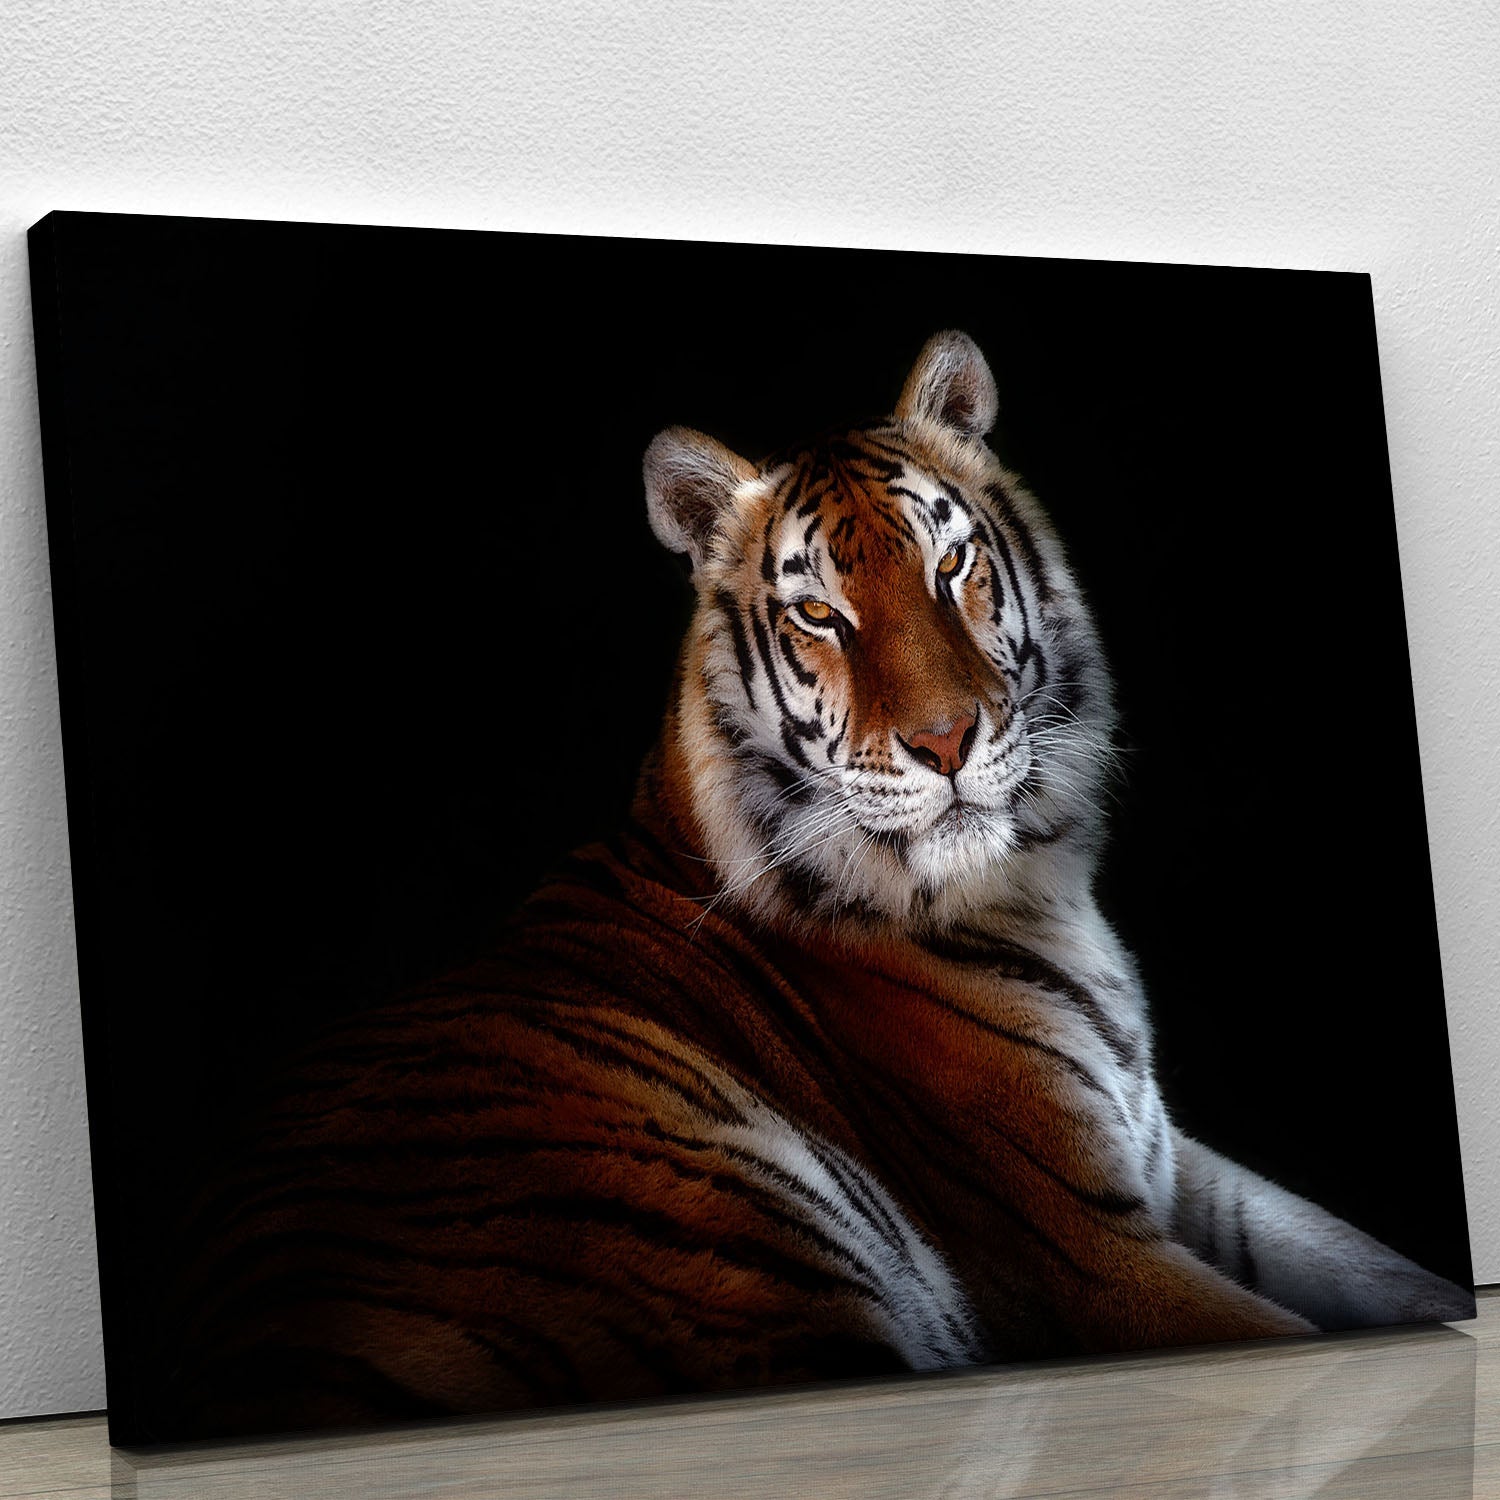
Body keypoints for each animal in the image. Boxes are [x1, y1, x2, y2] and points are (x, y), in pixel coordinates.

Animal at [168, 331, 1473, 1437]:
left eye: (954, 566)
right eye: (817, 613)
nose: (945, 742)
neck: (1037, 884)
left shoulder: (1172, 1165)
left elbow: (1380, 1268)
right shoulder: (1091, 1258)